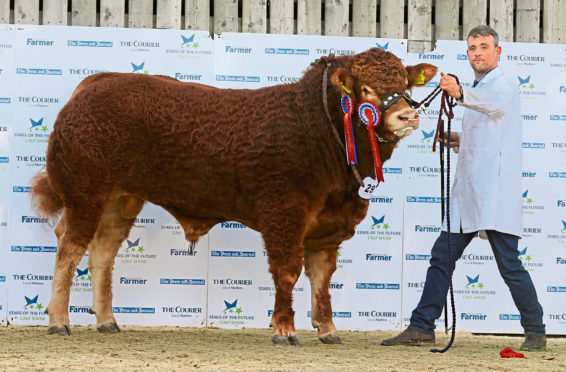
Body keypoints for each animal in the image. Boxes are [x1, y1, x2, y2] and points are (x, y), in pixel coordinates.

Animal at [32, 48, 440, 344]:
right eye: (365, 89)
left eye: (407, 85)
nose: (407, 117)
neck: (316, 128)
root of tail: (96, 82)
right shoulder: (283, 212)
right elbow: (288, 271)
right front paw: (284, 330)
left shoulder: (328, 227)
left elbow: (322, 278)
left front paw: (328, 330)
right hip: (85, 193)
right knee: (70, 246)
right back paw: (58, 320)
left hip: (120, 201)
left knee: (102, 251)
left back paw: (107, 321)